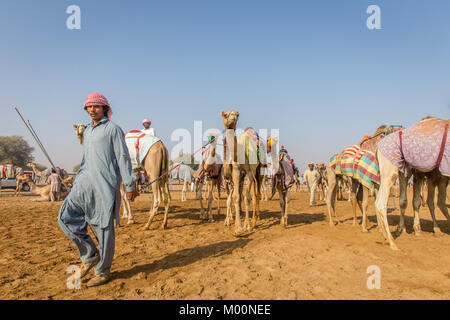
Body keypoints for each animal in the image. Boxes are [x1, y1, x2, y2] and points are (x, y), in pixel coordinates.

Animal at [374, 117, 448, 250]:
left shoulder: (423, 175)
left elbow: (414, 201)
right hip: (390, 172)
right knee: (380, 203)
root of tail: (378, 147)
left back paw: (386, 235)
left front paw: (416, 230)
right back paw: (392, 242)